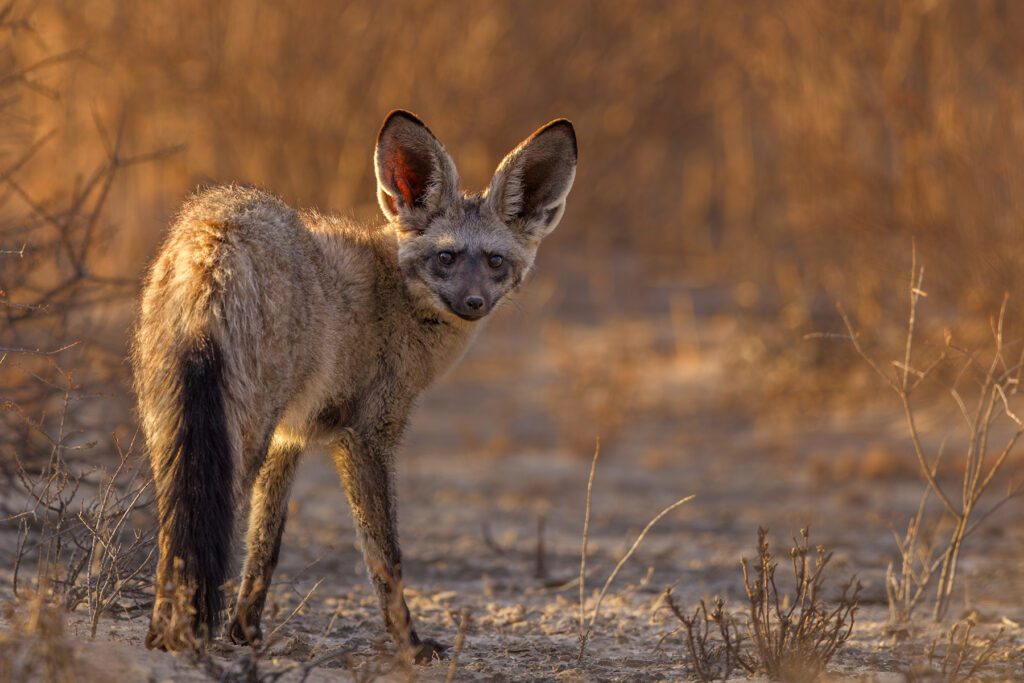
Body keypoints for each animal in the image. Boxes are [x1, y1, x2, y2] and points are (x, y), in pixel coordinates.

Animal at [132, 110, 577, 661]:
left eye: (495, 261)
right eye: (447, 257)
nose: (473, 303)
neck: (397, 299)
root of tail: (217, 233)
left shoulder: (290, 437)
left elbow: (264, 546)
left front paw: (245, 632)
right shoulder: (365, 437)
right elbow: (385, 558)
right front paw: (409, 645)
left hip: (176, 432)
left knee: (174, 533)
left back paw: (161, 636)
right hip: (238, 437)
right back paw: (184, 639)